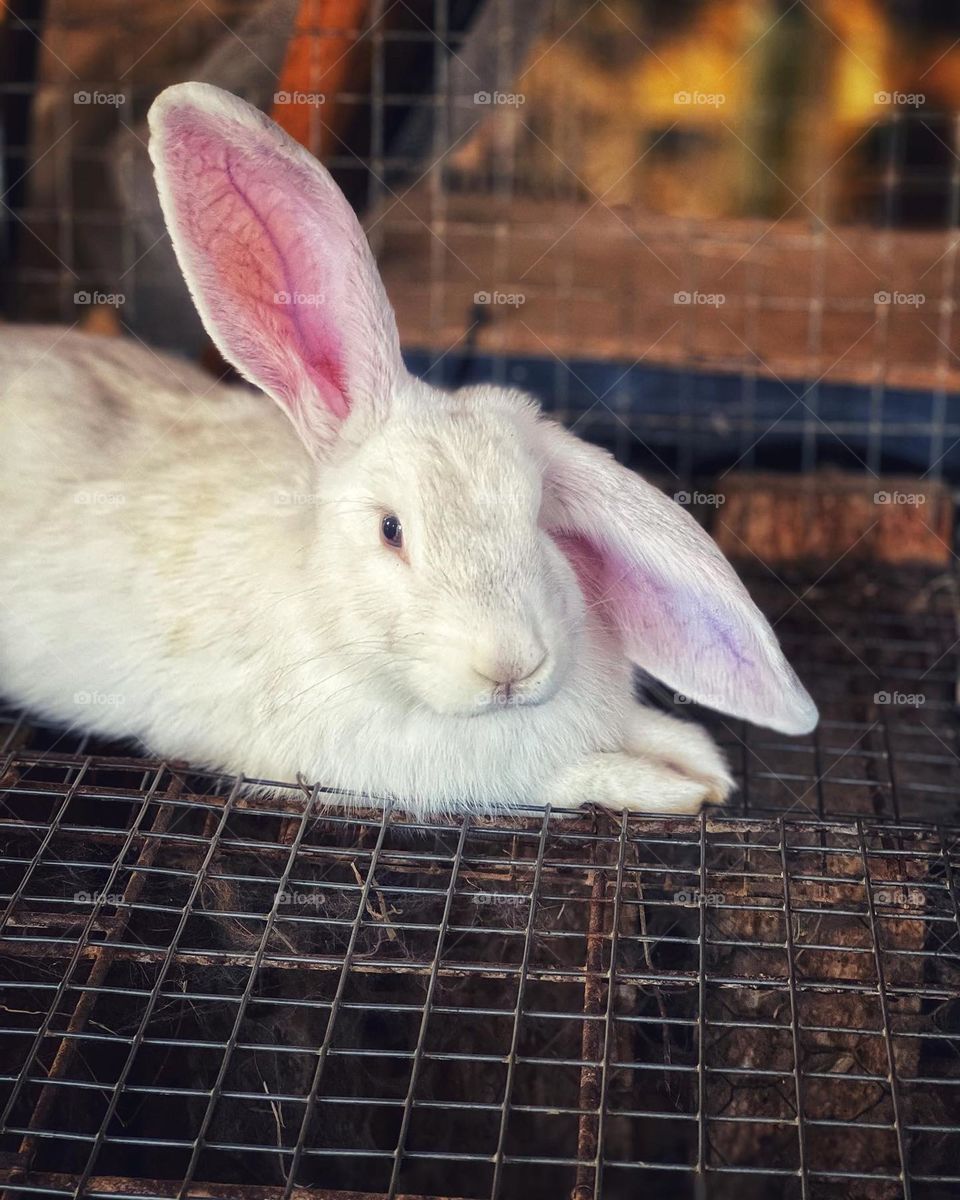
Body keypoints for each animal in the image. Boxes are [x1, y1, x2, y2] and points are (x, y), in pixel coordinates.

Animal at [0, 82, 817, 816]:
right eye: (391, 530)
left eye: (538, 520)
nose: (511, 667)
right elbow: (558, 778)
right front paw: (671, 786)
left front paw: (698, 760)